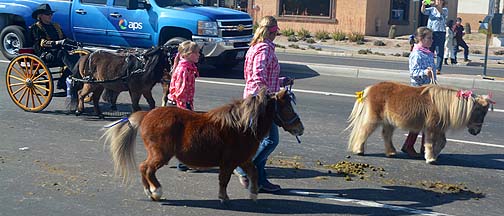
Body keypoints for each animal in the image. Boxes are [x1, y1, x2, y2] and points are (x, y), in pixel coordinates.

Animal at [101, 88, 304, 202]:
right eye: (287, 108)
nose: (300, 128)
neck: (241, 126)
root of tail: (146, 115)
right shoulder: (229, 162)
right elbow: (224, 180)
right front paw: (224, 198)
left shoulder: (243, 160)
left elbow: (253, 172)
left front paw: (253, 195)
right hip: (160, 154)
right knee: (146, 168)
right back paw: (155, 191)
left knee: (145, 168)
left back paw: (150, 192)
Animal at [344, 82, 494, 165]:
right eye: (479, 111)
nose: (476, 132)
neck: (445, 105)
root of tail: (370, 88)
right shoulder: (431, 128)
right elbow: (430, 143)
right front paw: (430, 158)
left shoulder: (440, 129)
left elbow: (442, 143)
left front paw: (434, 155)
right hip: (374, 118)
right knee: (365, 131)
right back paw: (359, 150)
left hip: (389, 122)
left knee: (386, 135)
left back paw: (391, 152)